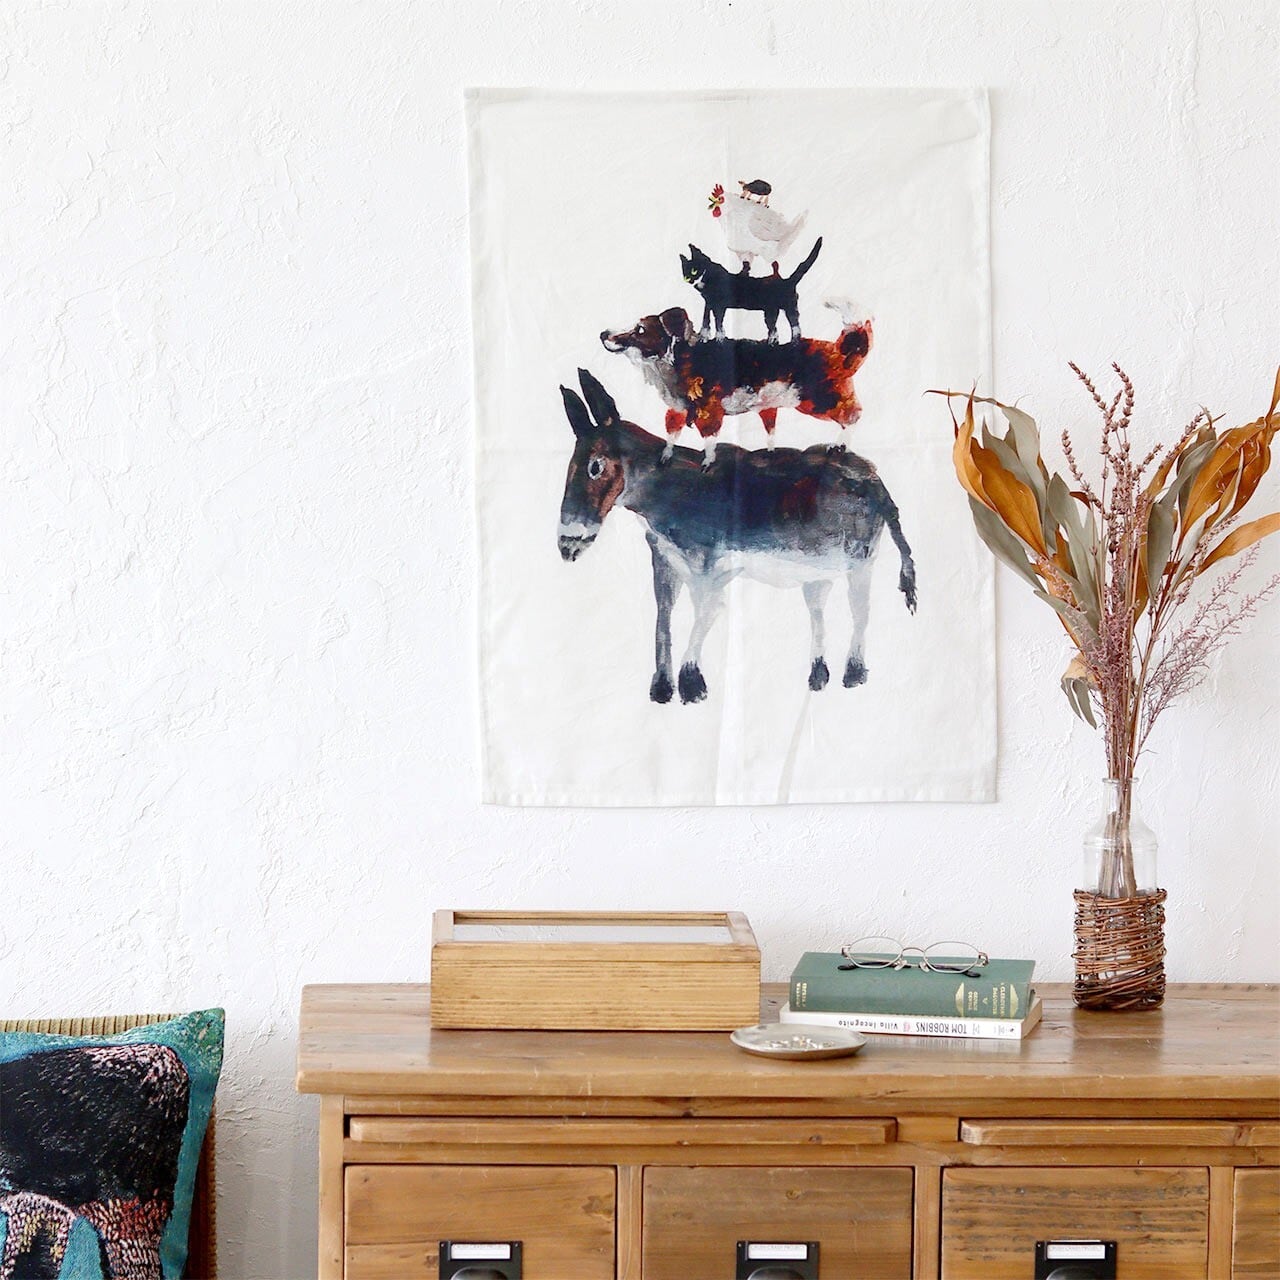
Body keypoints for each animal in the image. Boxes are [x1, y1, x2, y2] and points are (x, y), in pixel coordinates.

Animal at [557, 370, 917, 703]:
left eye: (595, 467)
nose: (565, 546)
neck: (668, 491)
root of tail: (872, 477)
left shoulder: (709, 570)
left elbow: (704, 616)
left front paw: (692, 687)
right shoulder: (665, 561)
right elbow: (664, 618)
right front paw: (662, 689)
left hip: (861, 561)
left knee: (860, 611)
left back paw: (853, 675)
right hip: (818, 569)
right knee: (819, 612)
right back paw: (818, 677)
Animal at [681, 237, 822, 343]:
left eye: (694, 270)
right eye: (685, 272)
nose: (688, 279)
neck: (708, 277)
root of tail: (788, 281)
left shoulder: (719, 305)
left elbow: (718, 322)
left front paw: (719, 338)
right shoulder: (709, 303)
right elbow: (705, 319)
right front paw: (704, 336)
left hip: (786, 308)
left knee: (794, 326)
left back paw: (793, 343)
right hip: (773, 311)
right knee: (777, 329)